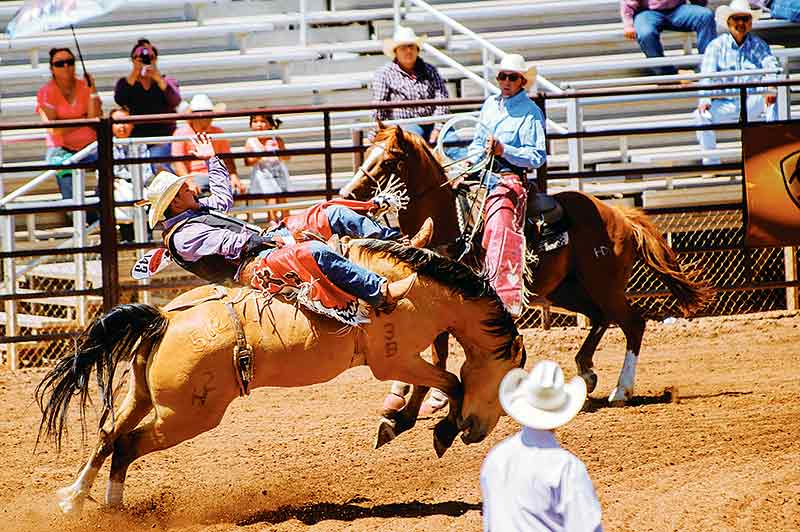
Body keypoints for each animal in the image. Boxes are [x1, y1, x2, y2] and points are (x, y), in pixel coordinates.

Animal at [36, 239, 524, 512]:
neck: (417, 288)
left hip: (140, 394)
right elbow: (450, 381)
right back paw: (116, 508)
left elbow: (436, 376)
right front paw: (437, 429)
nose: (476, 434)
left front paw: (399, 423)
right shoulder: (393, 359)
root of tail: (164, 318)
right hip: (185, 417)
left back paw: (75, 499)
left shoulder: (406, 356)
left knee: (108, 434)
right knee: (127, 444)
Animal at [340, 124, 716, 408]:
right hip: (567, 290)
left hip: (604, 285)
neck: (449, 224)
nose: (349, 192)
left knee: (632, 324)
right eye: (368, 152)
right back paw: (586, 372)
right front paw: (408, 395)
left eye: (389, 159)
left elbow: (440, 348)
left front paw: (435, 396)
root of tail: (620, 215)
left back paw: (621, 390)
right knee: (600, 318)